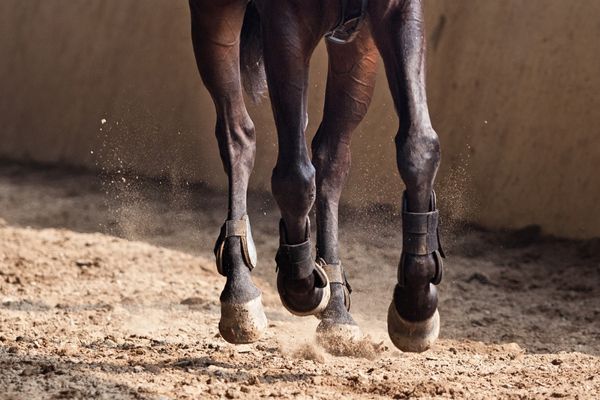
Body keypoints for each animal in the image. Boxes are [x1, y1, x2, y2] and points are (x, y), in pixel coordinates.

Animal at [189, 0, 446, 352]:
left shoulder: (395, 11)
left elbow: (419, 146)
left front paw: (416, 304)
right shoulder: (285, 25)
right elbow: (294, 177)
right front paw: (300, 284)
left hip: (356, 49)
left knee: (330, 159)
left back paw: (337, 311)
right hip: (215, 15)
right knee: (238, 135)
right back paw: (240, 293)